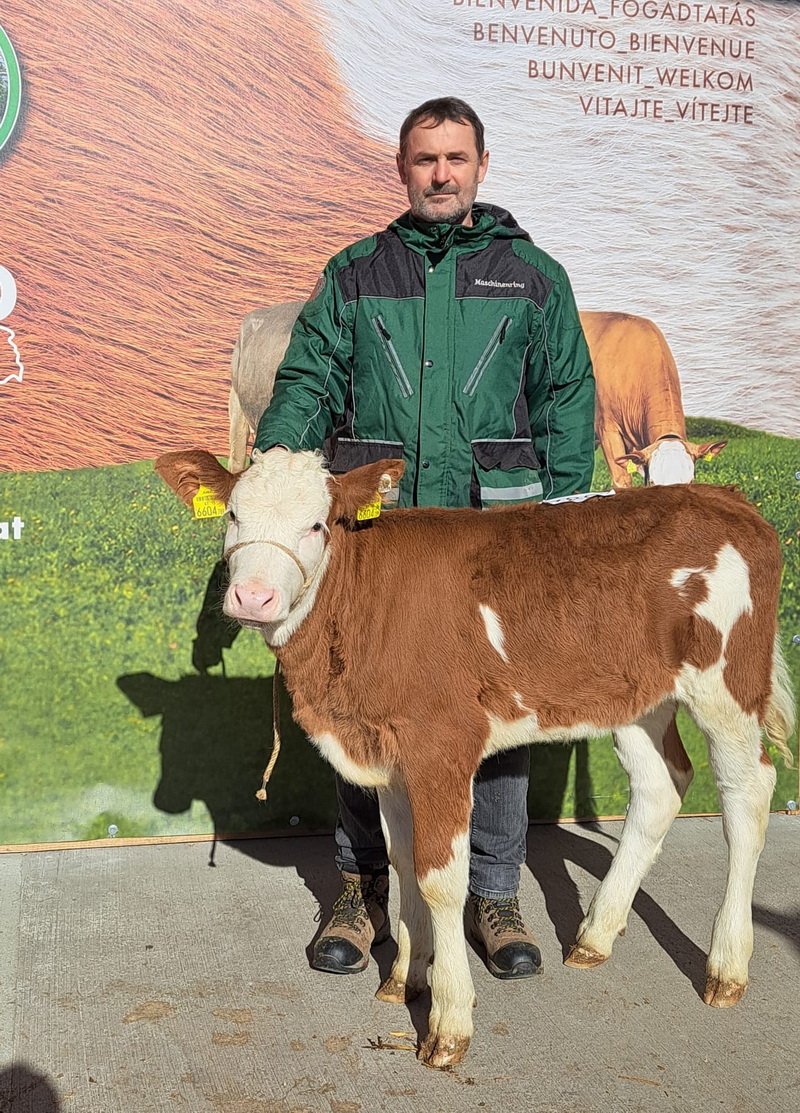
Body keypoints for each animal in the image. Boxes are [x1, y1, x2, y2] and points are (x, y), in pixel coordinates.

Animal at [156, 447, 796, 1064]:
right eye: (233, 516)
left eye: (317, 524)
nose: (253, 597)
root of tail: (724, 497)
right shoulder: (391, 758)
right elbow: (402, 860)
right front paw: (404, 979)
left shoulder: (442, 743)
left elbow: (441, 879)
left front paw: (448, 1022)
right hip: (638, 695)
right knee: (661, 785)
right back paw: (594, 937)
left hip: (727, 682)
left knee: (748, 794)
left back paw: (726, 968)